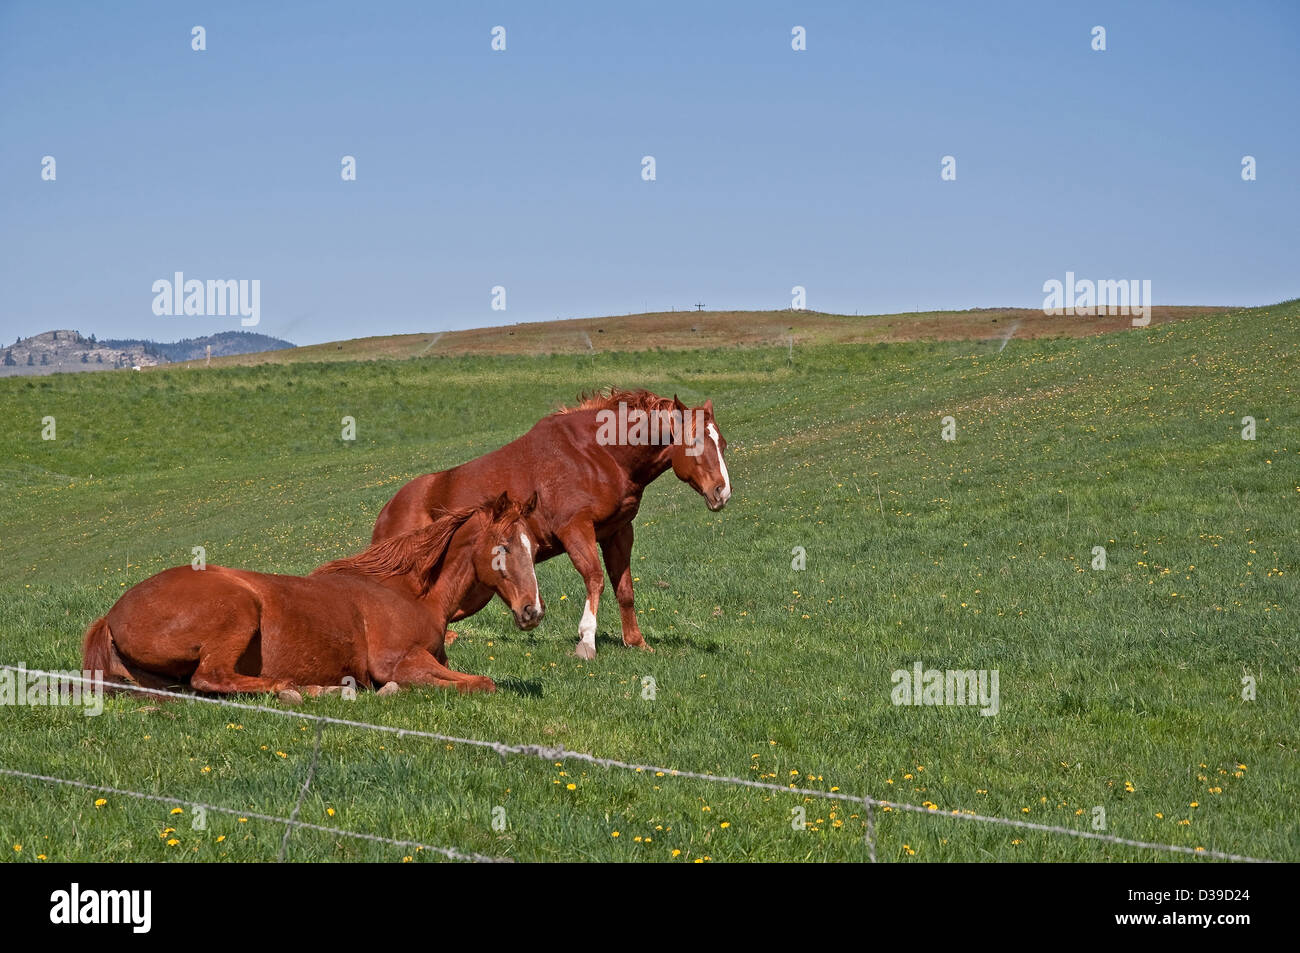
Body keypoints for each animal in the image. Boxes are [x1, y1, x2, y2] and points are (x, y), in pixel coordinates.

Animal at [81, 492, 542, 698]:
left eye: (533, 545)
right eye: (503, 547)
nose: (532, 611)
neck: (411, 594)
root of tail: (111, 615)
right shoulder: (398, 663)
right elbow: (481, 683)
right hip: (239, 611)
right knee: (213, 677)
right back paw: (310, 690)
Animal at [372, 388, 731, 659]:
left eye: (723, 444)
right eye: (695, 443)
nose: (722, 492)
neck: (598, 454)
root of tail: (388, 512)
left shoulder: (617, 532)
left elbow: (624, 588)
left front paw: (637, 642)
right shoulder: (575, 529)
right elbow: (595, 578)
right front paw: (586, 642)